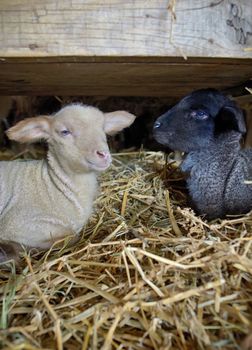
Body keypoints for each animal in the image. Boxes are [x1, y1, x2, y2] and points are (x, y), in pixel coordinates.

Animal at [0, 102, 136, 262]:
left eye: (102, 128)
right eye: (65, 132)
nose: (103, 154)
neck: (52, 185)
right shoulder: (16, 224)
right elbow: (71, 236)